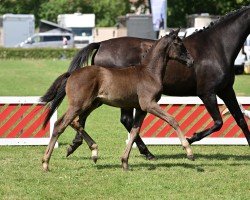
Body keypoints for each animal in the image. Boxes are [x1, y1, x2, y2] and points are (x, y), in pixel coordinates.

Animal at [41, 29, 194, 170]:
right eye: (179, 44)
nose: (191, 61)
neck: (149, 72)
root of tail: (72, 74)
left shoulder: (141, 109)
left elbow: (134, 132)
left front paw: (125, 161)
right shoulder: (149, 104)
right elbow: (172, 120)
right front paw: (189, 152)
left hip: (92, 103)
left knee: (75, 122)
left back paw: (93, 151)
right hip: (79, 105)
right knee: (60, 124)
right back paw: (45, 162)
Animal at [66, 5, 250, 161]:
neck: (216, 46)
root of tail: (101, 44)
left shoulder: (226, 90)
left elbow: (240, 119)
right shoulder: (207, 93)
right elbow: (218, 123)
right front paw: (190, 139)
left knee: (87, 115)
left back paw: (77, 145)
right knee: (121, 119)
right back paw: (145, 152)